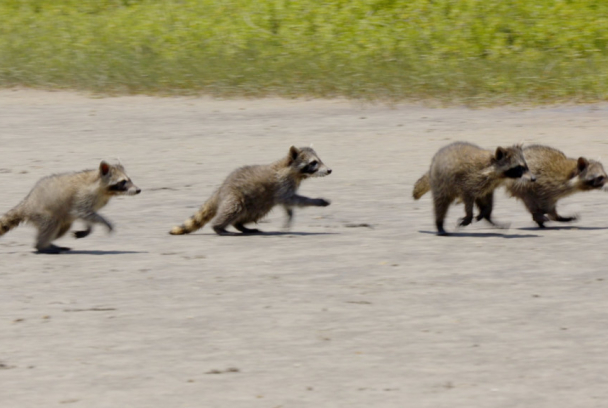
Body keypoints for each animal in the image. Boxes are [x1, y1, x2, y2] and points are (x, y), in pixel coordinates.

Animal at [0, 162, 140, 252]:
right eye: (123, 182)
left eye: (129, 179)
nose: (138, 190)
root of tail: (27, 203)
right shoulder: (83, 195)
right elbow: (82, 212)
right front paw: (105, 222)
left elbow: (88, 215)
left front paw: (89, 228)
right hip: (42, 213)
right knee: (51, 224)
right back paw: (41, 246)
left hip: (60, 218)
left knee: (62, 228)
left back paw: (50, 243)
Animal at [169, 146, 332, 236]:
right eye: (313, 163)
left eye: (319, 160)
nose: (329, 170)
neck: (293, 171)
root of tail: (221, 190)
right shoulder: (281, 186)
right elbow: (293, 199)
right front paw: (316, 201)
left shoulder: (286, 188)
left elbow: (288, 204)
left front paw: (290, 215)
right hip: (236, 196)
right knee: (232, 210)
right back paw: (219, 227)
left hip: (256, 204)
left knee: (250, 214)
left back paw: (240, 226)